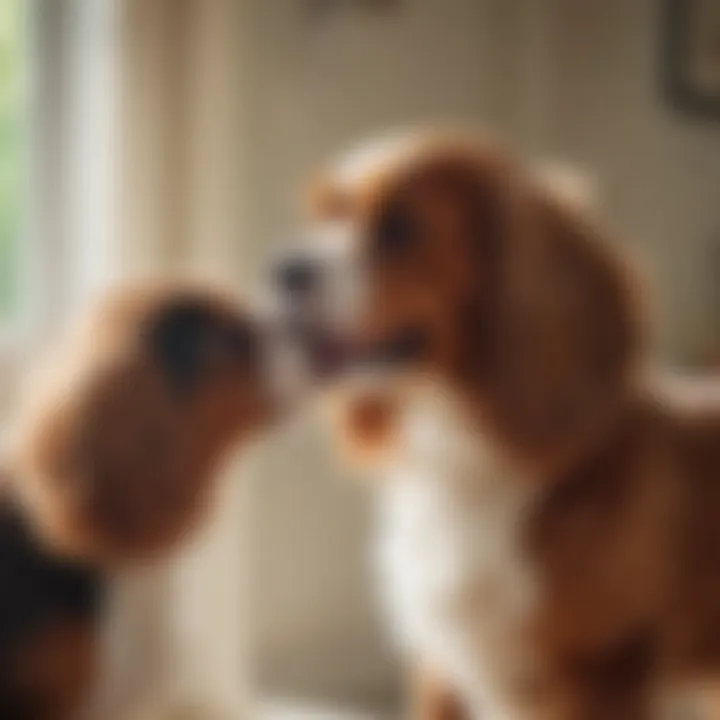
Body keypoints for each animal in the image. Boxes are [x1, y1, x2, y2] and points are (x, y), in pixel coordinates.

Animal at [274, 131, 720, 720]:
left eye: (400, 227)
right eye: (325, 216)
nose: (281, 268)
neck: (464, 459)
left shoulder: (603, 672)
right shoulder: (442, 666)